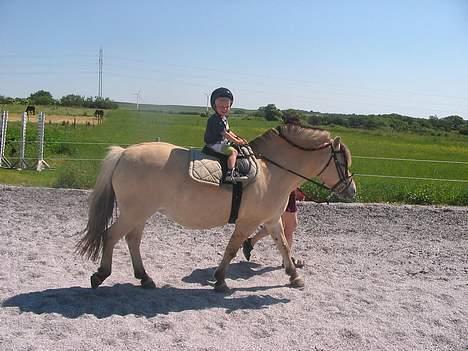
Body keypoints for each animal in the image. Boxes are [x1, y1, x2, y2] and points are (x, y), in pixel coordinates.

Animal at [76, 125, 354, 292]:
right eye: (342, 162)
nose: (352, 190)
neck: (271, 172)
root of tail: (124, 153)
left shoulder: (272, 220)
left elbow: (283, 246)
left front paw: (294, 276)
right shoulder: (247, 222)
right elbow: (232, 248)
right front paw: (220, 279)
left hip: (141, 214)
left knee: (132, 240)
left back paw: (145, 278)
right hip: (134, 212)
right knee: (110, 236)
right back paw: (100, 275)